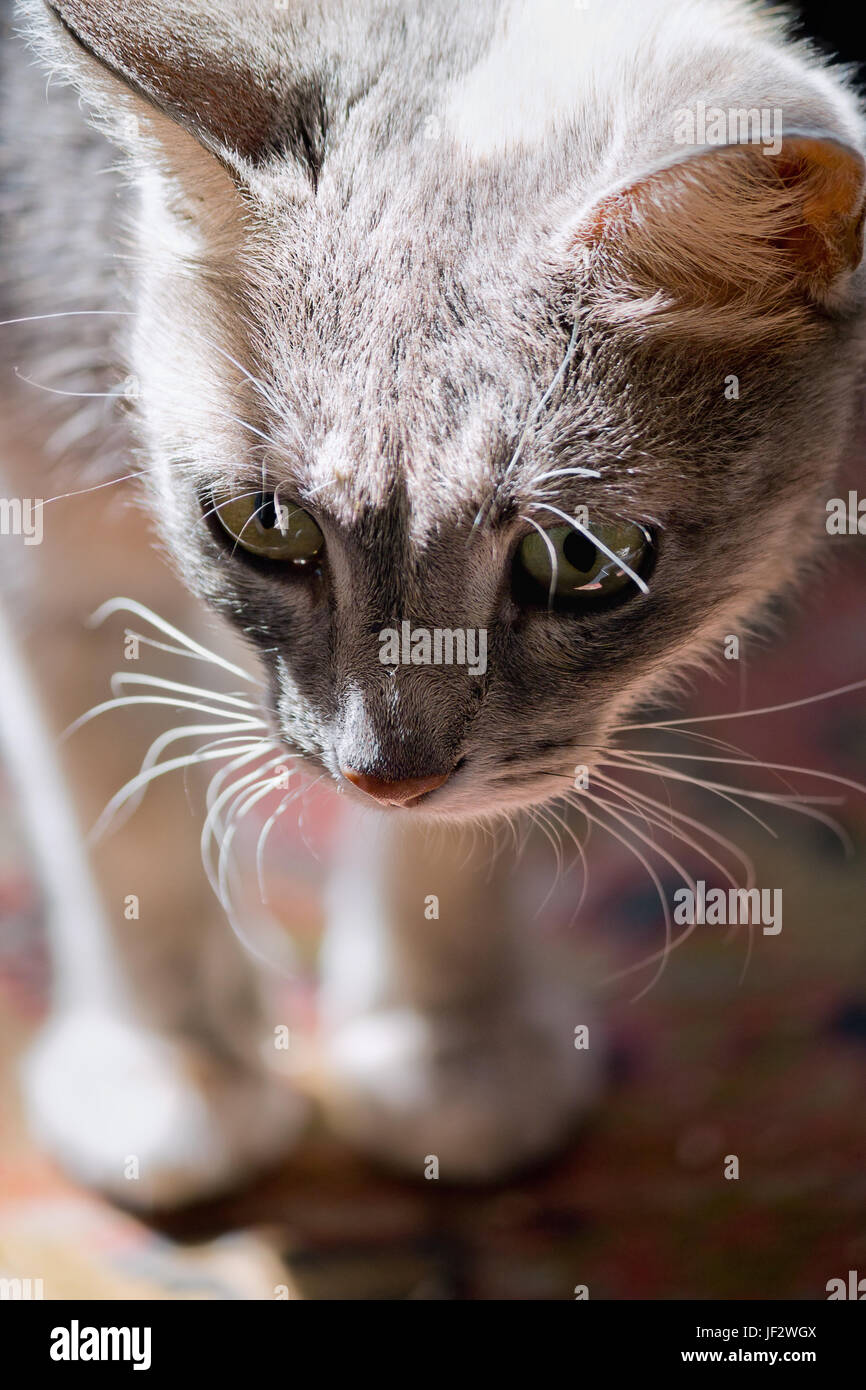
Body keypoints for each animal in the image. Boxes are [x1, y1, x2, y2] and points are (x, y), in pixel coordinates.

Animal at [0, 2, 861, 1206]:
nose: (383, 778)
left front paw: (453, 1048)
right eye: (267, 522)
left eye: (582, 556)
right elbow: (123, 835)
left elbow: (460, 849)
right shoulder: (57, 556)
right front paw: (172, 1069)